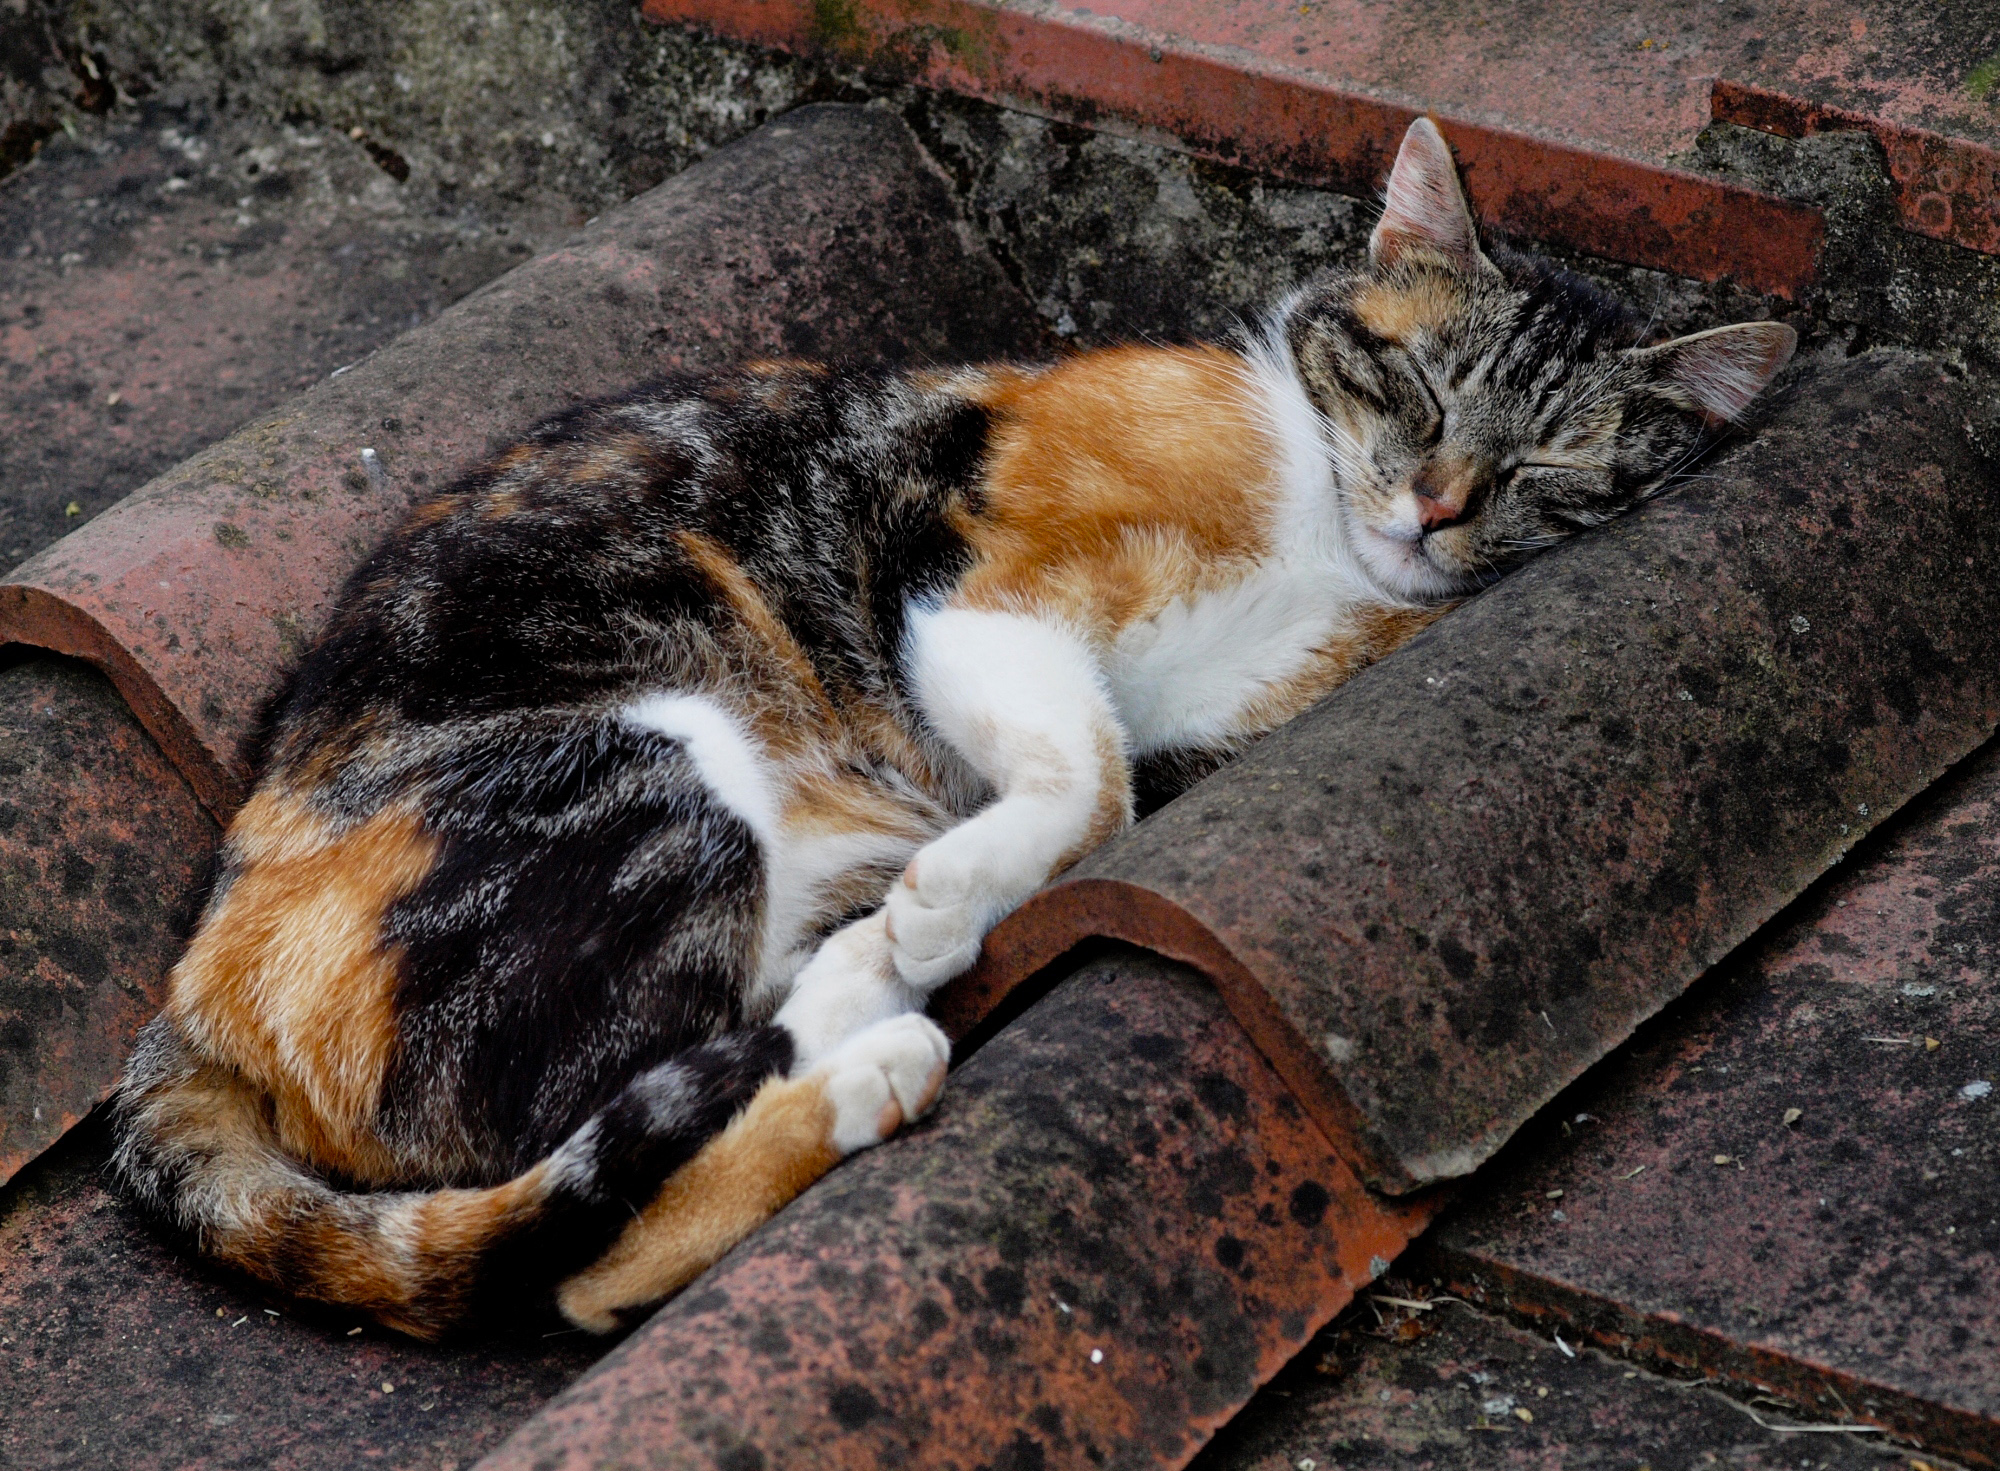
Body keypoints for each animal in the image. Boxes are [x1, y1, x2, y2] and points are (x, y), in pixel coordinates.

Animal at [105, 117, 1800, 1335]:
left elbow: (1118, 773)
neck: (1320, 541)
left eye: (1550, 469)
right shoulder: (962, 562)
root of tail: (193, 987)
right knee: (577, 1226)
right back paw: (869, 1045)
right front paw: (951, 897)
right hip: (647, 769)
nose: (1437, 509)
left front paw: (934, 911)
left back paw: (858, 993)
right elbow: (1096, 773)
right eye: (1419, 385)